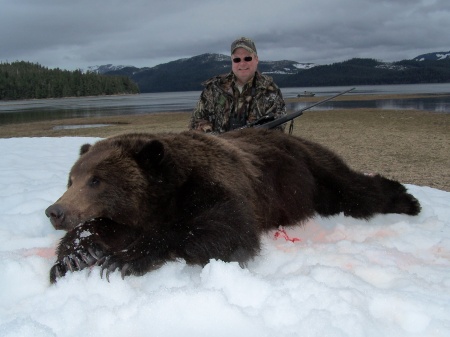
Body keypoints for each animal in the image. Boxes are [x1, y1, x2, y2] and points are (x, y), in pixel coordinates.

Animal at [46, 127, 422, 282]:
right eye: (72, 179)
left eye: (96, 180)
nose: (55, 212)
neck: (164, 197)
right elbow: (103, 228)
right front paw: (78, 254)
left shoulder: (213, 187)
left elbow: (225, 232)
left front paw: (124, 258)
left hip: (312, 171)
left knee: (355, 191)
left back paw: (407, 199)